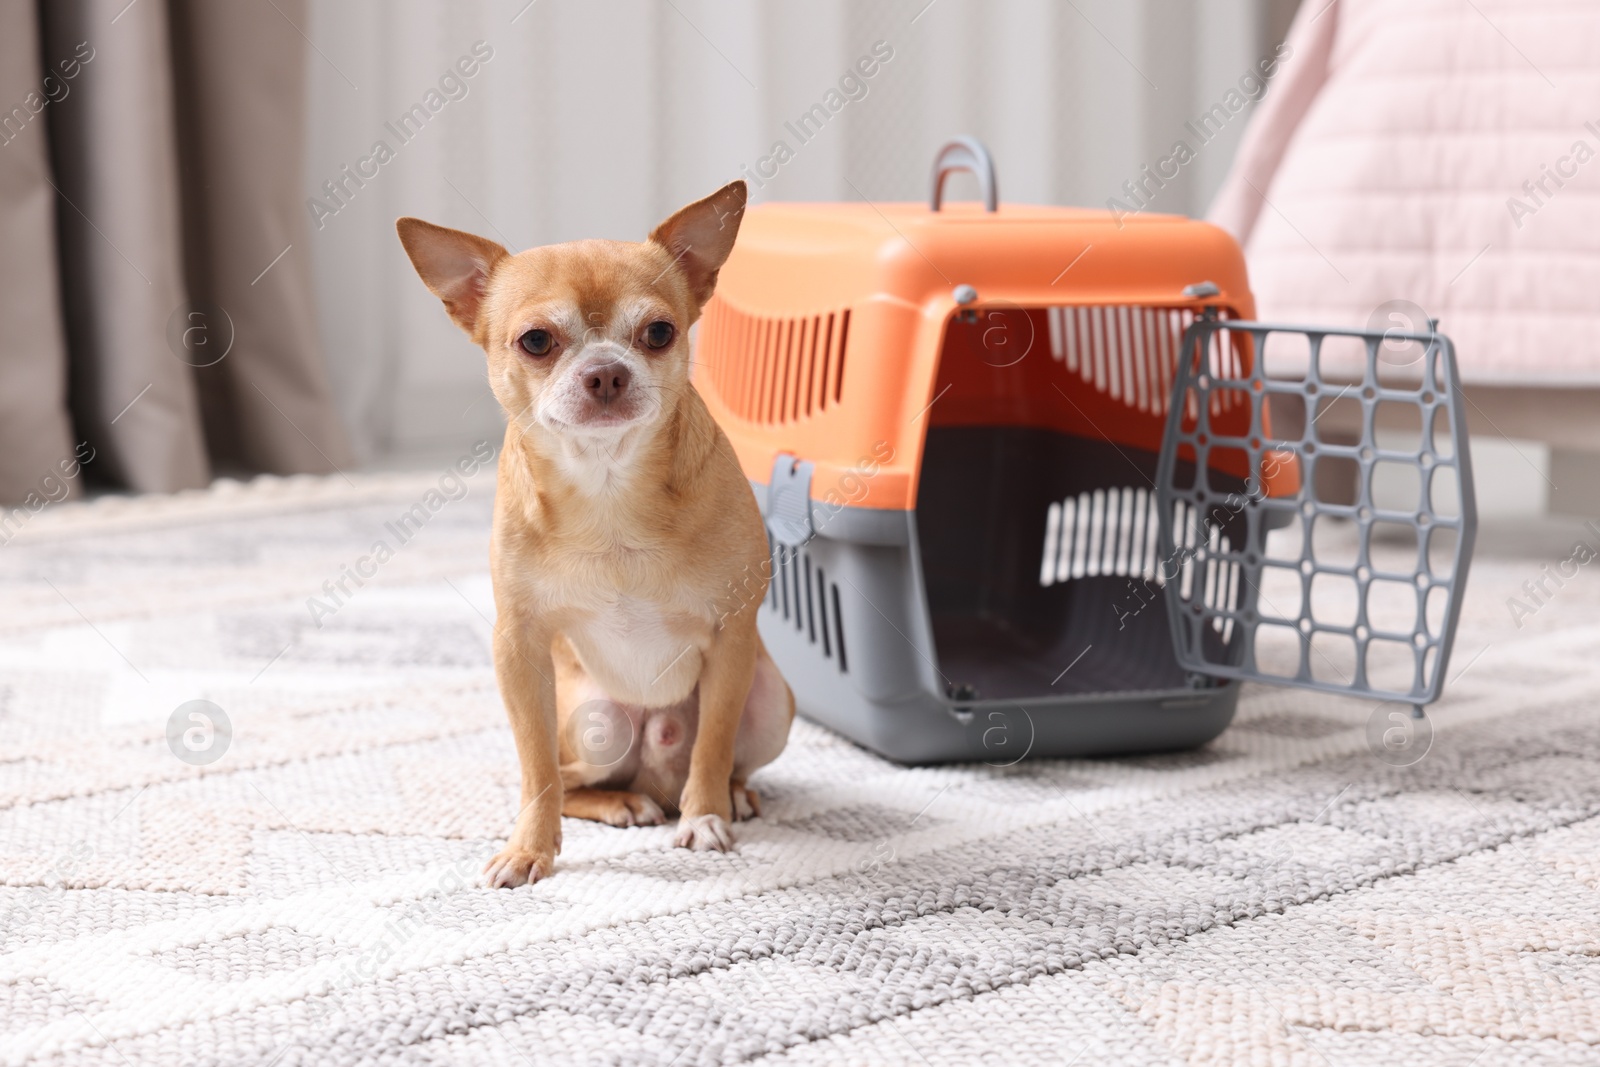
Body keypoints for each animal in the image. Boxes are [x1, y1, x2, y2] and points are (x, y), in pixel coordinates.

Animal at [398, 185, 793, 895]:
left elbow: (713, 744)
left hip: (772, 701)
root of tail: (653, 775)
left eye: (659, 332)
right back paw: (621, 803)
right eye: (535, 341)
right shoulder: (519, 647)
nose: (606, 371)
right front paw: (530, 848)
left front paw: (706, 818)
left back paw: (726, 796)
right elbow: (534, 767)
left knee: (714, 760)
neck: (609, 488)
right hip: (597, 722)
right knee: (571, 778)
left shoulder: (733, 640)